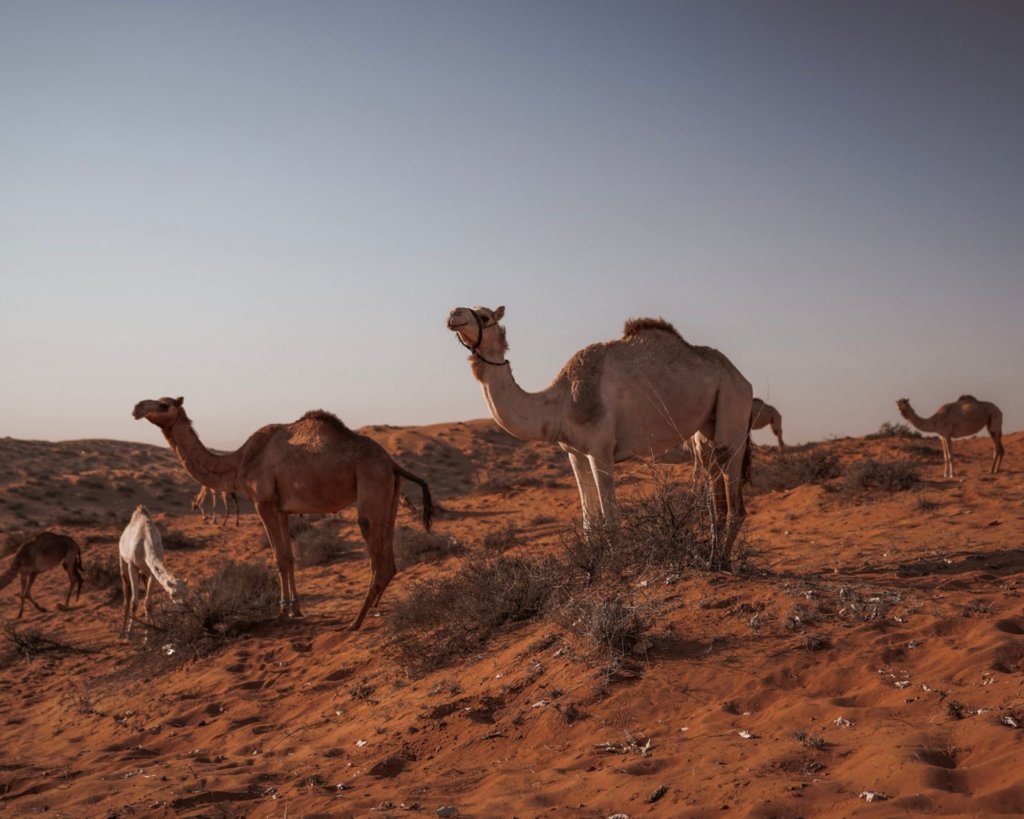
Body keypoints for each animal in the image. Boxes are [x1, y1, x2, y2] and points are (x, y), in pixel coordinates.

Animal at [118, 505, 189, 638]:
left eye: (187, 593)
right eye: (173, 594)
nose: (184, 609)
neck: (146, 545)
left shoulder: (152, 573)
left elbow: (148, 603)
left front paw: (148, 635)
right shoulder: (132, 566)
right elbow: (134, 602)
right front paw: (129, 635)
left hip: (145, 572)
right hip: (122, 560)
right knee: (126, 593)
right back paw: (122, 632)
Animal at [131, 397, 432, 626]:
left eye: (163, 404)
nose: (136, 407)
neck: (238, 461)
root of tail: (391, 462)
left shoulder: (262, 503)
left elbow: (278, 557)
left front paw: (282, 609)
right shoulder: (282, 508)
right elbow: (289, 557)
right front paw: (294, 608)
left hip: (371, 484)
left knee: (376, 555)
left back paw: (356, 622)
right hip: (390, 495)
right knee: (389, 559)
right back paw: (372, 610)